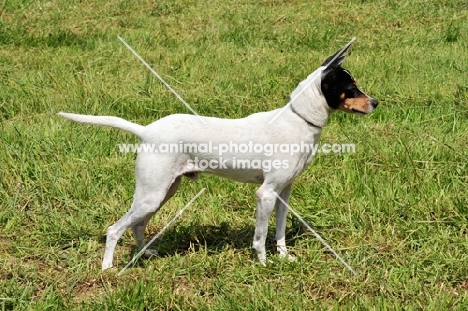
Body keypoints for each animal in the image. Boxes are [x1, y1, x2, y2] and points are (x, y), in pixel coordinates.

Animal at [59, 40, 376, 272]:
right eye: (351, 90)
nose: (375, 102)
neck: (298, 119)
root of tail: (146, 131)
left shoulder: (283, 193)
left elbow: (280, 232)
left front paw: (284, 258)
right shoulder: (265, 193)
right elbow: (260, 236)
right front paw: (263, 265)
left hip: (163, 192)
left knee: (137, 225)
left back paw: (146, 254)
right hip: (151, 194)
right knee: (115, 229)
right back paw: (108, 268)